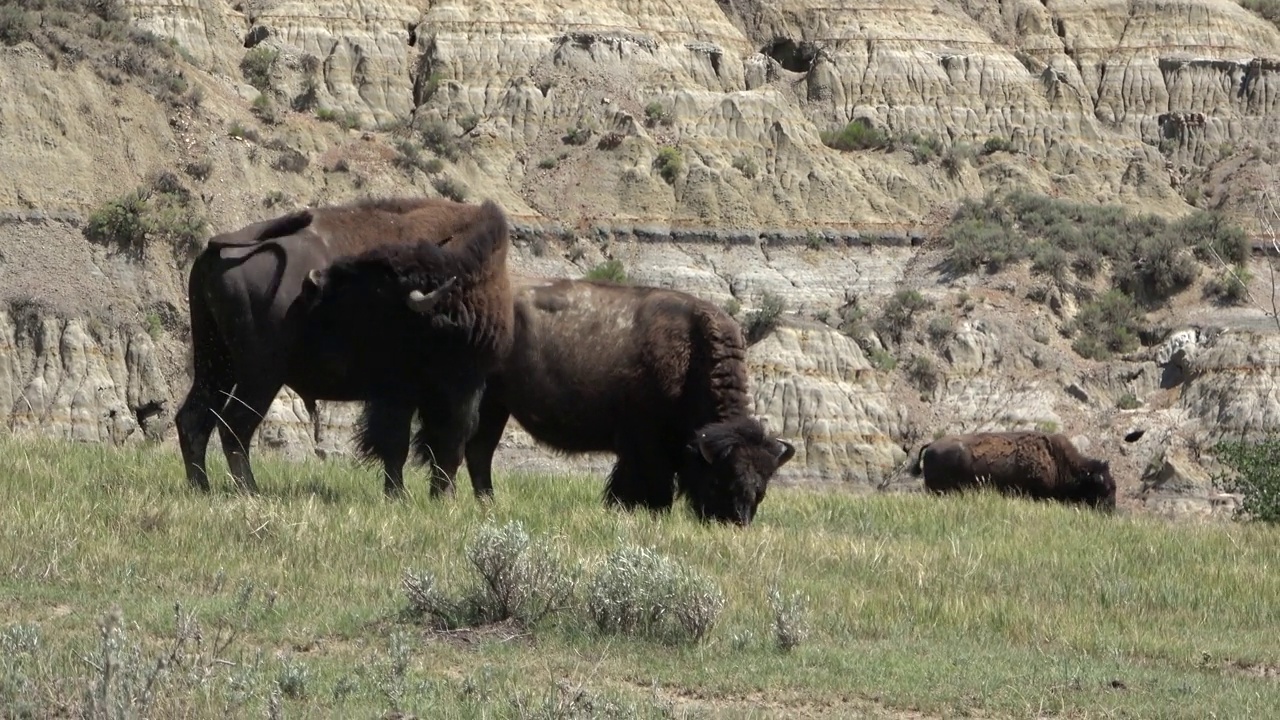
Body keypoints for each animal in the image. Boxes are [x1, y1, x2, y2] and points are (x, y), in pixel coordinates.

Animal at [176, 193, 514, 489]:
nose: (314, 281)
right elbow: (407, 445)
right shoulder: (420, 391)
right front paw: (406, 496)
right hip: (260, 375)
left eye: (371, 285)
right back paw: (249, 490)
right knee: (234, 424)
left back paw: (201, 487)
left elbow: (436, 447)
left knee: (194, 419)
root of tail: (219, 247)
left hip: (216, 362)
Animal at [366, 272, 793, 520]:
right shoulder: (645, 442)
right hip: (468, 396)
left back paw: (487, 503)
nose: (737, 519)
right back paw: (446, 502)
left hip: (495, 405)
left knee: (476, 451)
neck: (691, 351)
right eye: (721, 478)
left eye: (764, 486)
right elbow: (648, 481)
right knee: (450, 446)